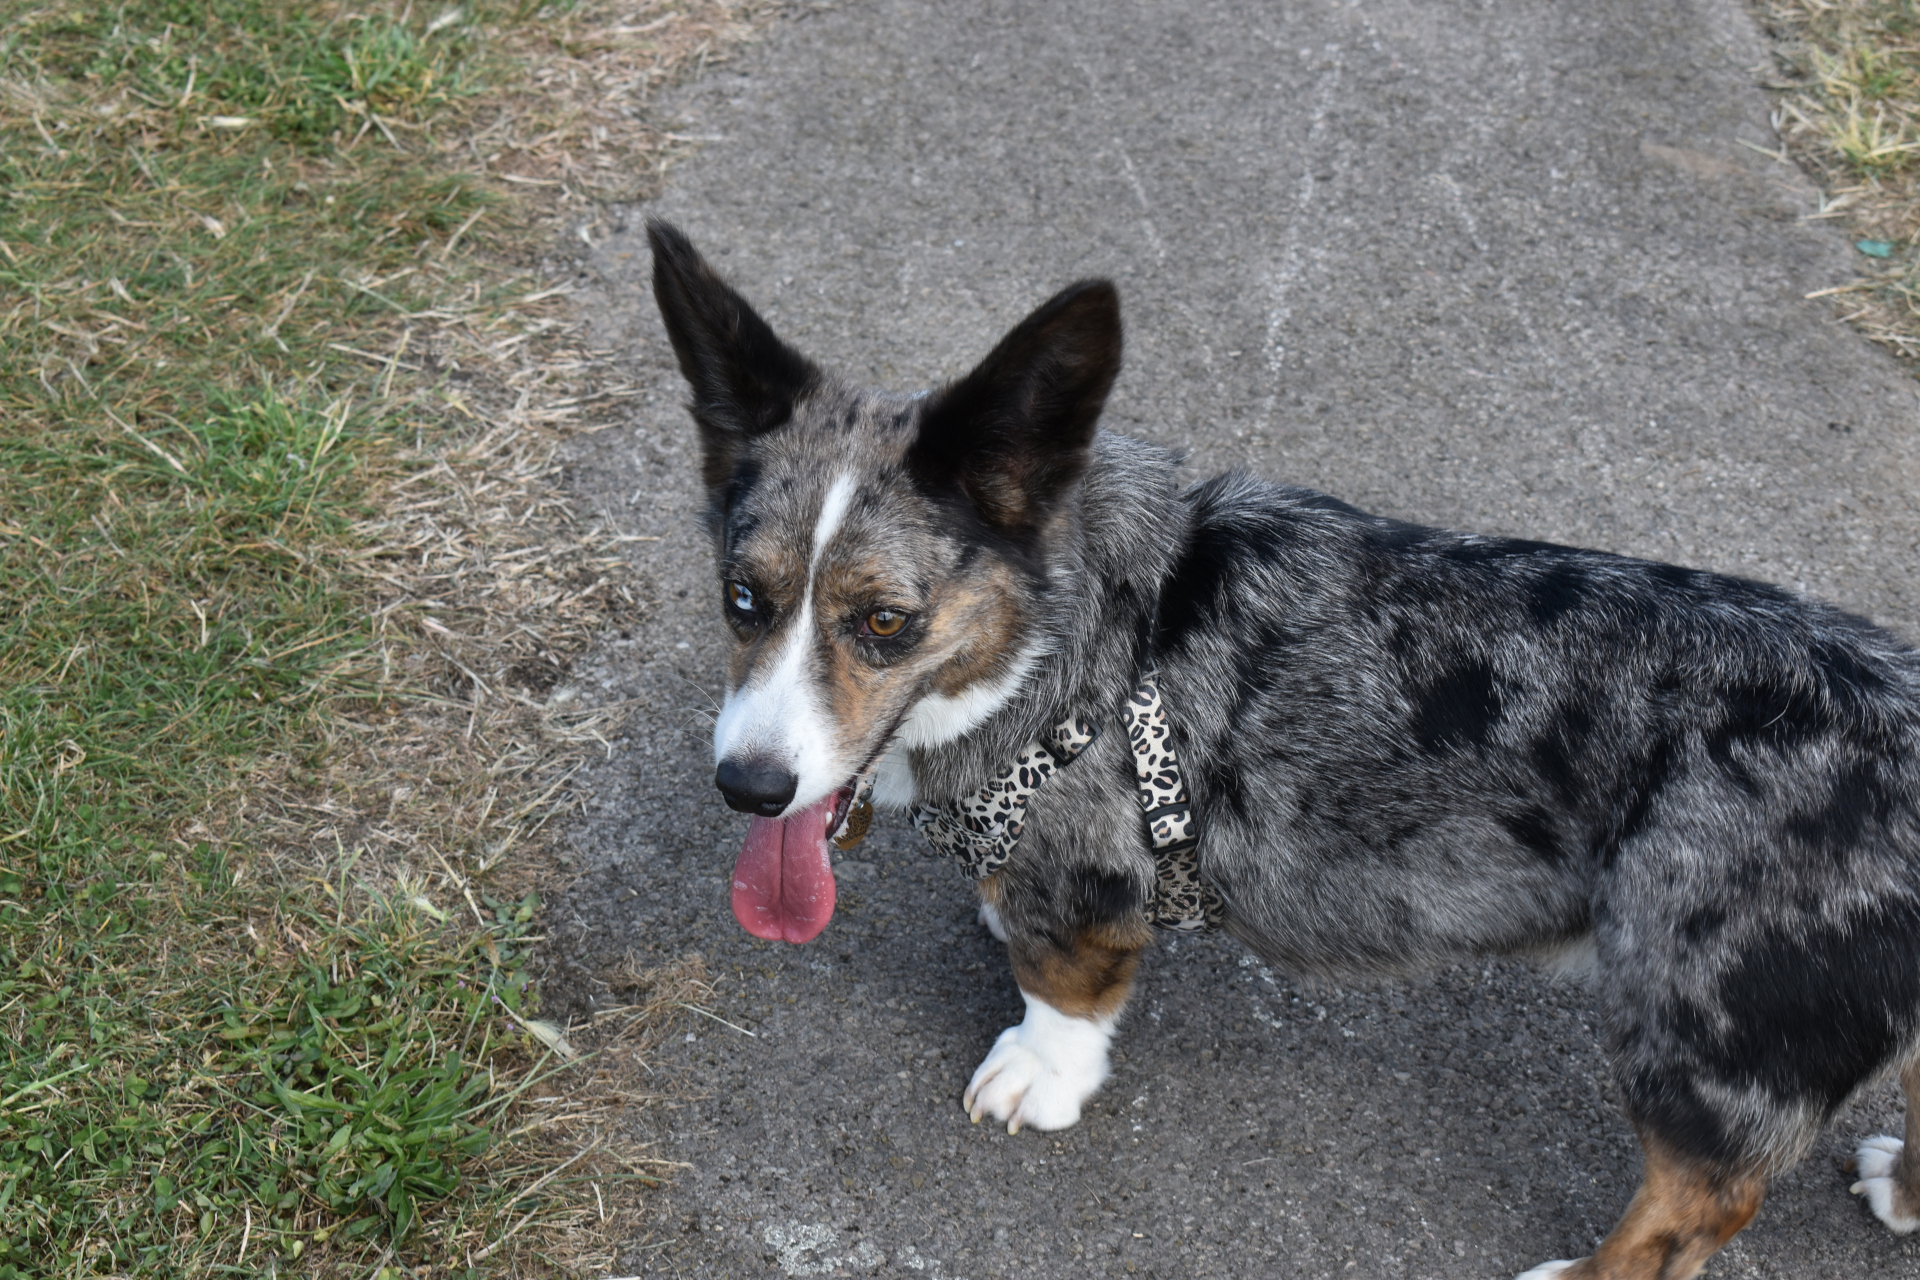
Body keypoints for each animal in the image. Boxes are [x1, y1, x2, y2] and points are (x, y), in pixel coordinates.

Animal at [641, 222, 1920, 1280]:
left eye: (885, 622)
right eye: (742, 597)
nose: (747, 789)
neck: (1063, 629)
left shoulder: (1085, 876)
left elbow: (1063, 986)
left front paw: (1036, 1073)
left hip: (1700, 1025)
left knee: (1695, 1208)